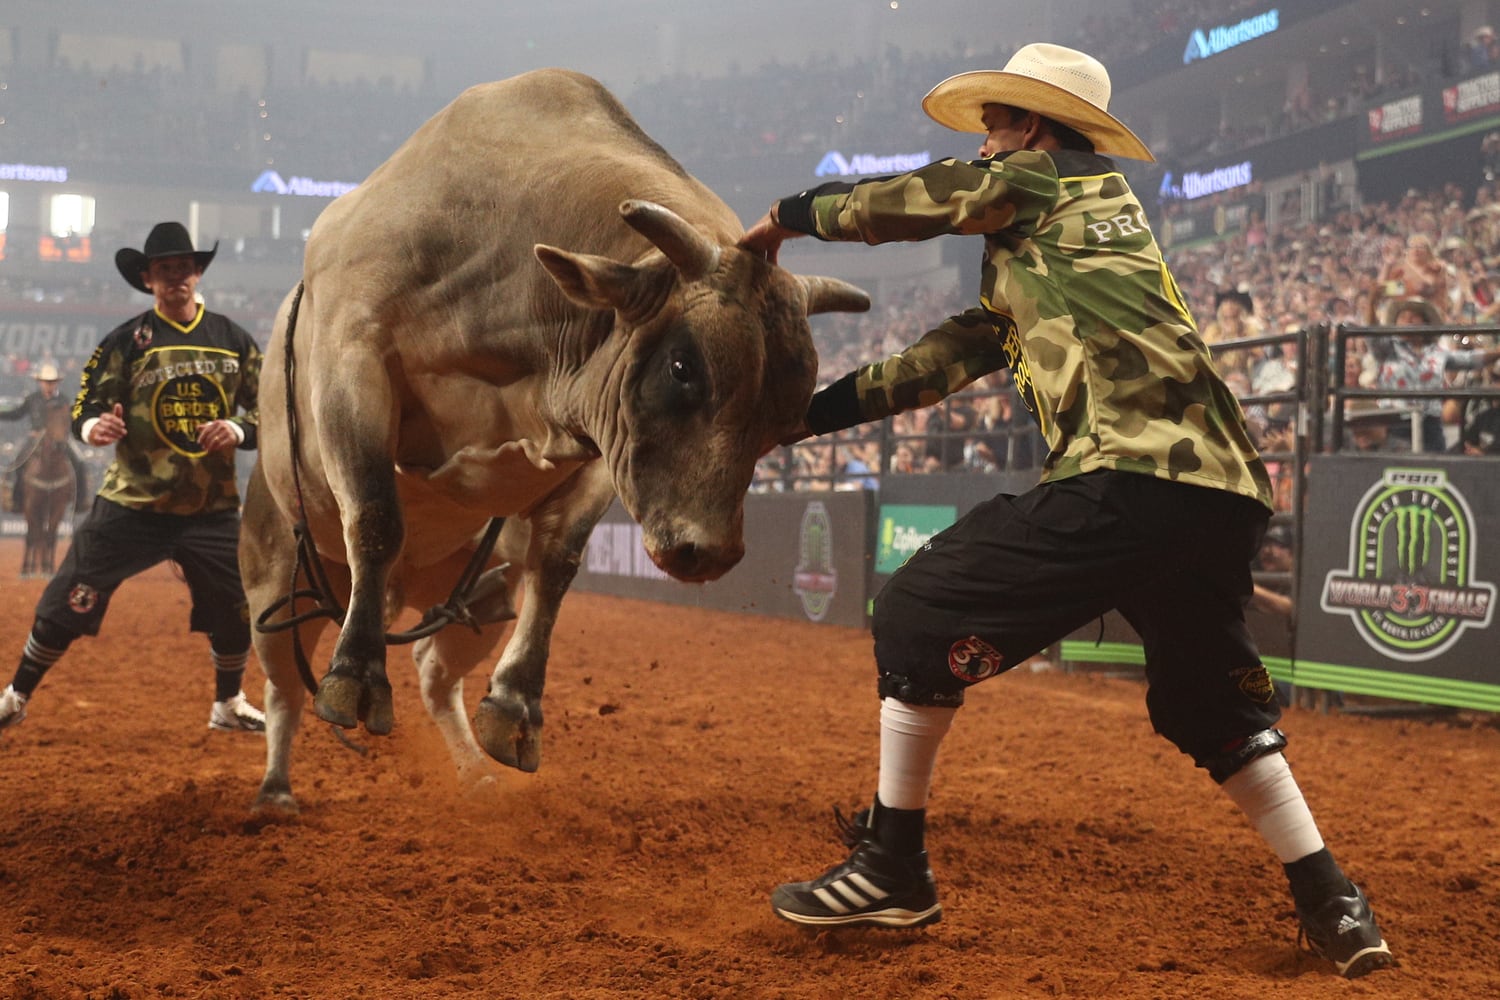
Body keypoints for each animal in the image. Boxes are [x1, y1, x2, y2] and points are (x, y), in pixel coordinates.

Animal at [17, 404, 76, 578]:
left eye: (67, 420)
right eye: (49, 421)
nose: (59, 444)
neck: (49, 470)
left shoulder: (58, 505)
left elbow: (50, 535)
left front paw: (48, 568)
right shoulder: (31, 505)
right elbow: (33, 535)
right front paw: (26, 570)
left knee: (43, 534)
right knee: (34, 534)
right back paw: (30, 567)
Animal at [243, 68, 870, 815]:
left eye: (787, 415)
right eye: (682, 367)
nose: (709, 551)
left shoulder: (600, 443)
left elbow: (558, 563)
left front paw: (515, 709)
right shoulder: (353, 355)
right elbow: (374, 516)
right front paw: (357, 676)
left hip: (480, 599)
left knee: (434, 670)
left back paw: (471, 771)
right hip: (277, 577)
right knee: (283, 685)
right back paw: (276, 786)